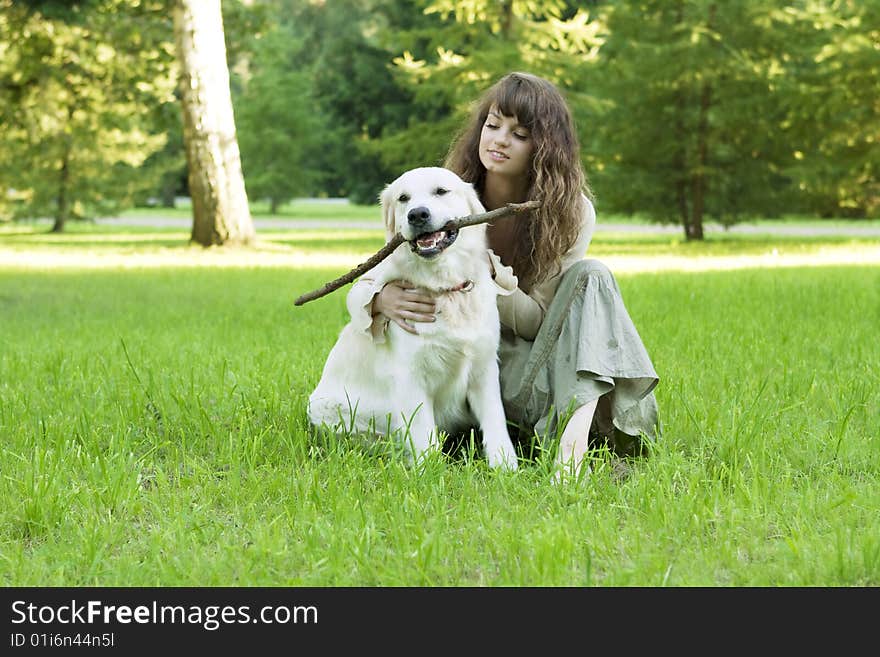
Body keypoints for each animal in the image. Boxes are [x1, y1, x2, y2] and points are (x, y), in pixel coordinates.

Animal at [308, 167, 516, 468]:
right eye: (403, 198)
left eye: (441, 191)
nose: (417, 215)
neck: (442, 287)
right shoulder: (410, 375)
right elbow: (423, 433)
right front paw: (429, 471)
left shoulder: (484, 367)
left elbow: (496, 421)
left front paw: (505, 467)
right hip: (330, 409)